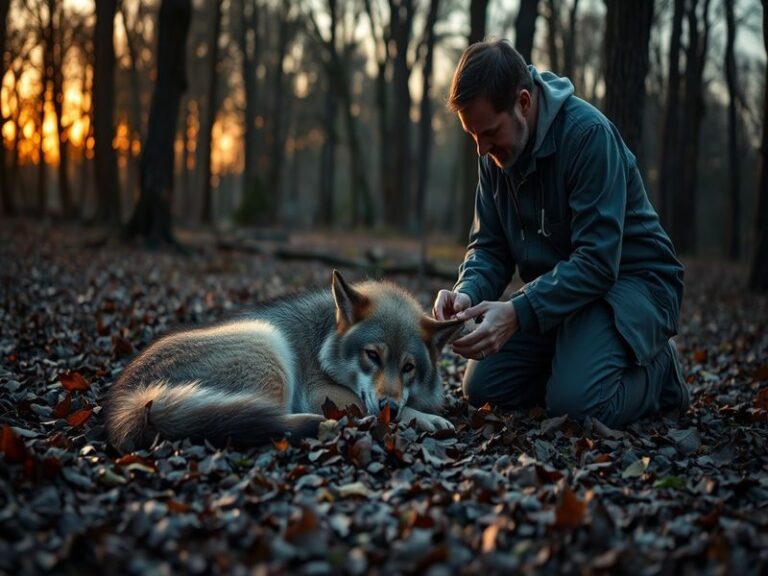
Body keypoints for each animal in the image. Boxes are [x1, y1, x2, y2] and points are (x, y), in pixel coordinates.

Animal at [104, 270, 465, 452]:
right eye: (372, 356)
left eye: (408, 368)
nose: (390, 404)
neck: (324, 337)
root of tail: (132, 402)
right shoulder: (322, 392)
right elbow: (376, 409)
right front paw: (424, 418)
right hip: (268, 344)